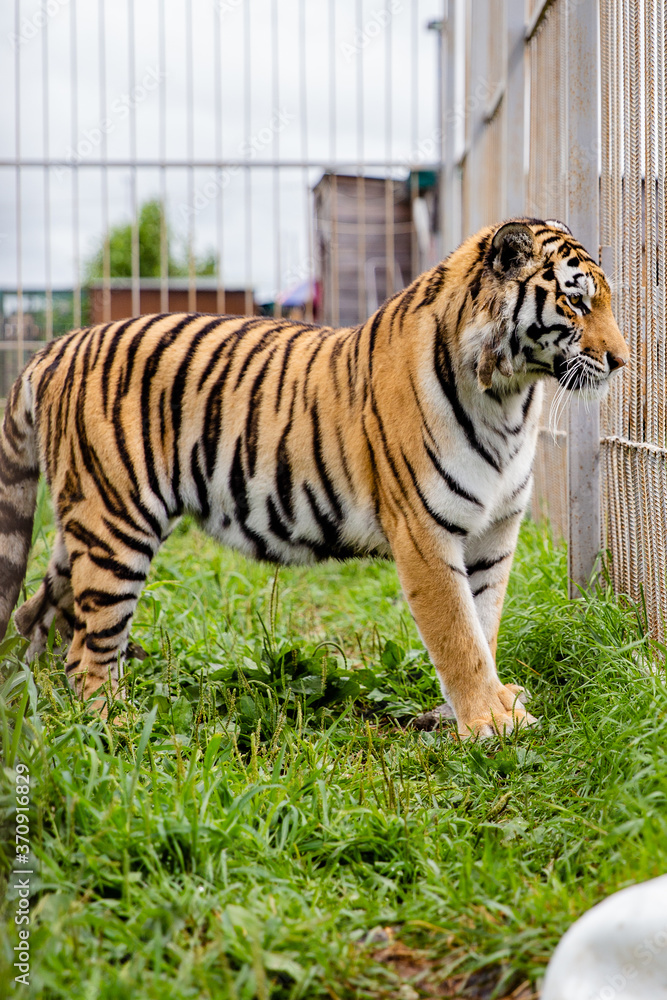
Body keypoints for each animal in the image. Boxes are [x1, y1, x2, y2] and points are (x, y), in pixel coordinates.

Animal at [0, 218, 628, 738]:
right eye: (575, 302)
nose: (622, 361)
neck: (511, 400)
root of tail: (58, 345)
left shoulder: (495, 533)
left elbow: (485, 623)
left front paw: (486, 706)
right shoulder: (425, 532)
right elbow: (458, 635)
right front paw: (490, 722)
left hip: (86, 525)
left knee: (39, 616)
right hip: (116, 526)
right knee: (89, 652)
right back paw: (116, 725)